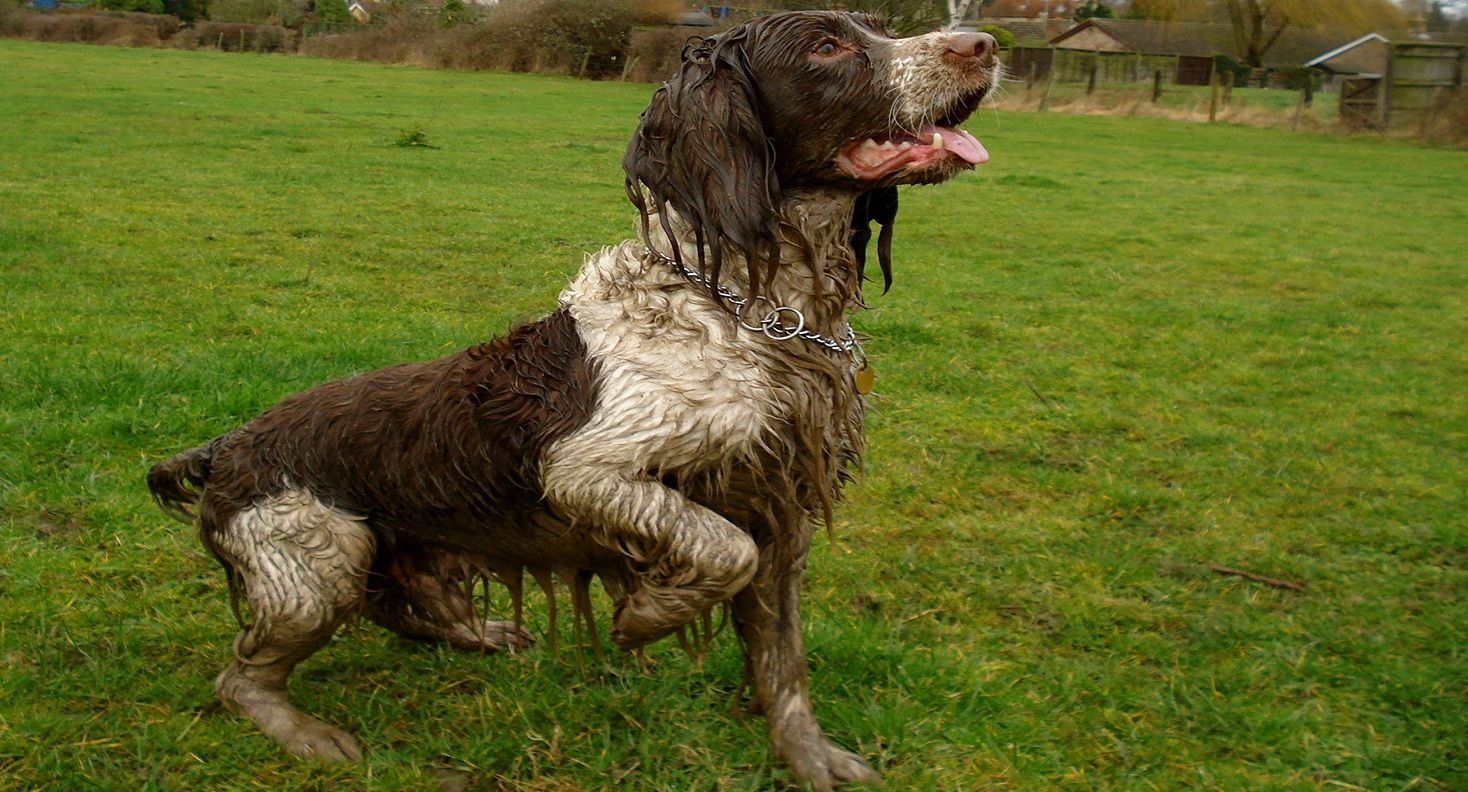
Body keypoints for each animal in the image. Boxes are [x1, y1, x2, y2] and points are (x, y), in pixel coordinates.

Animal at [149, 10, 998, 786]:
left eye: (878, 26)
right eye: (826, 46)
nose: (984, 43)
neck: (752, 313)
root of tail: (223, 446)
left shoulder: (781, 514)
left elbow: (782, 664)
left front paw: (810, 759)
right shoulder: (586, 471)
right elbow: (722, 550)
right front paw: (645, 615)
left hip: (393, 553)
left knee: (405, 610)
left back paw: (486, 635)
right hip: (315, 566)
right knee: (241, 676)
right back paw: (306, 732)